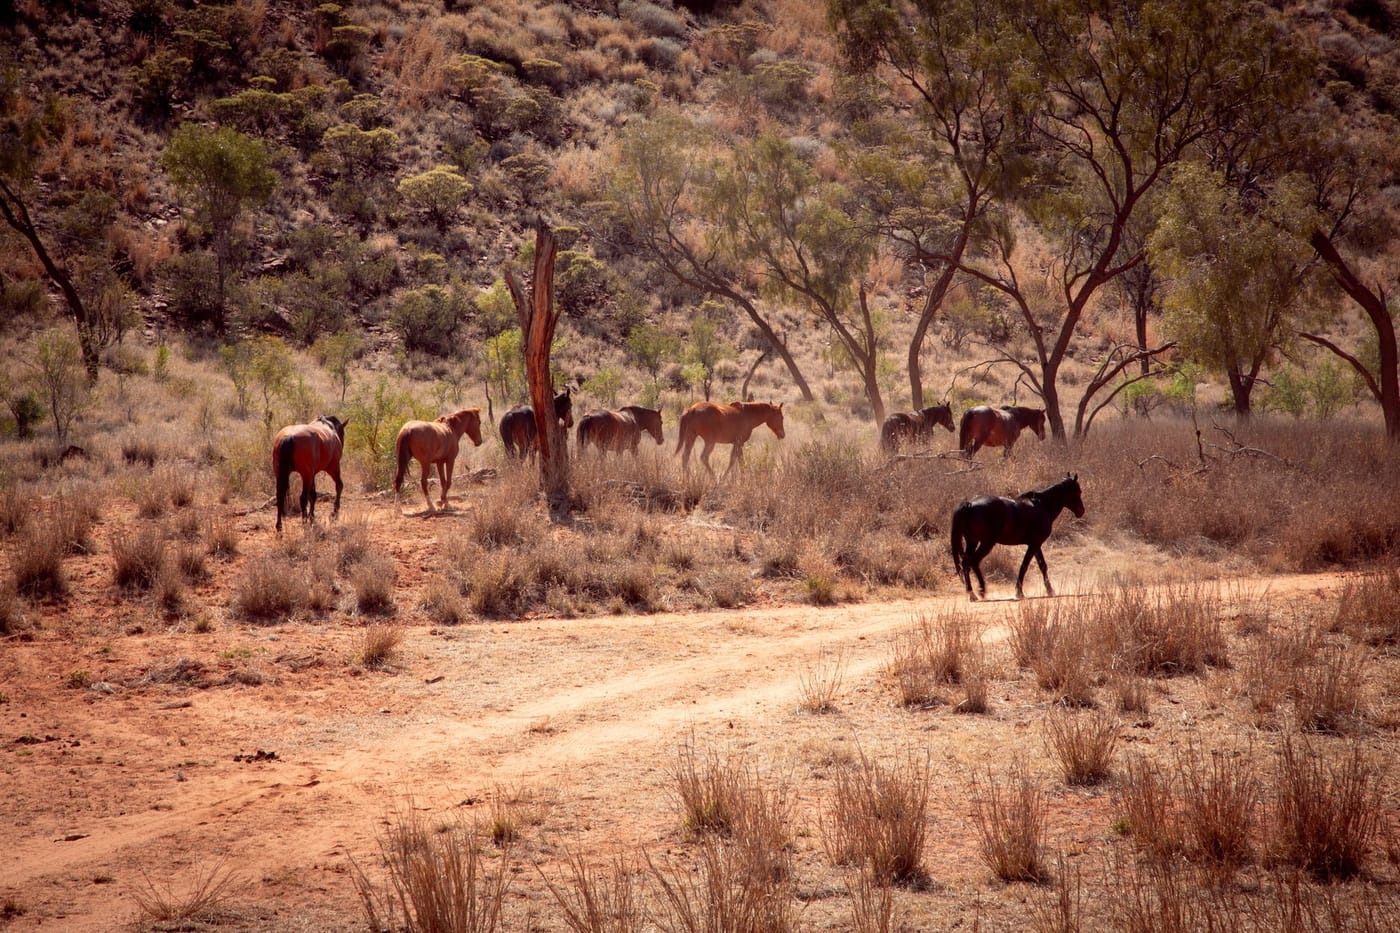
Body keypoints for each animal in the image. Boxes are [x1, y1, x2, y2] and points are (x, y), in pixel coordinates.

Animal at [950, 473, 1084, 601]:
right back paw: (980, 591)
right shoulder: (1034, 544)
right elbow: (1024, 566)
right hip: (986, 543)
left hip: (972, 542)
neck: (1042, 505)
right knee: (972, 561)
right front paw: (1019, 592)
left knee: (966, 563)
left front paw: (1050, 591)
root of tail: (969, 504)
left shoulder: (1036, 544)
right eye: (1078, 491)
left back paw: (973, 593)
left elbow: (1043, 566)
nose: (1081, 511)